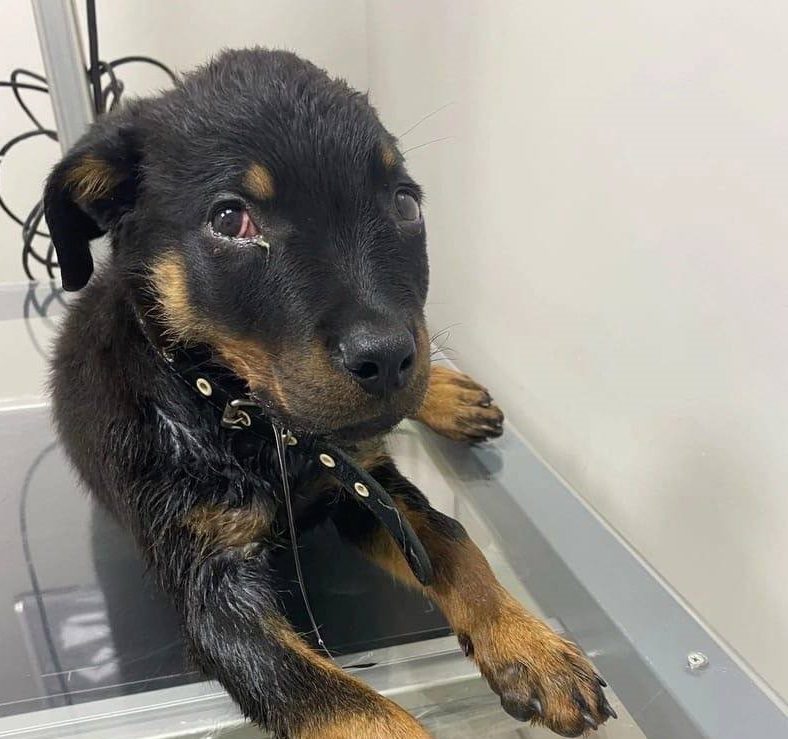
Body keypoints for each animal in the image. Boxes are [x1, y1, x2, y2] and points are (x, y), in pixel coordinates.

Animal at [44, 48, 614, 738]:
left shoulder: (364, 487)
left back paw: (447, 395)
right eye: (230, 218)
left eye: (405, 204)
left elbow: (456, 543)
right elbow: (355, 710)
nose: (389, 358)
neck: (249, 421)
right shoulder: (217, 599)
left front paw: (530, 646)